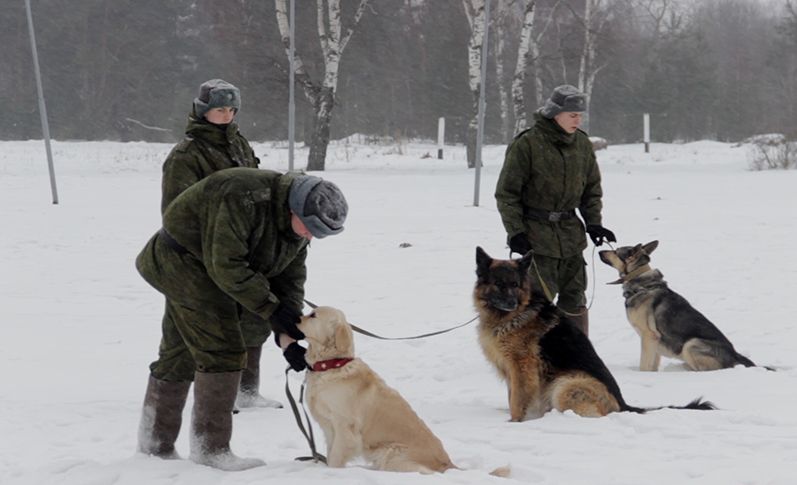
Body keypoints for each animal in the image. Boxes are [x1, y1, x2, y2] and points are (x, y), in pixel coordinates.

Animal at [296, 306, 454, 472]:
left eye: (313, 315)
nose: (294, 319)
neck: (331, 365)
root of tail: (449, 464)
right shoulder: (329, 428)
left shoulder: (345, 427)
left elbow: (335, 458)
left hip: (391, 453)